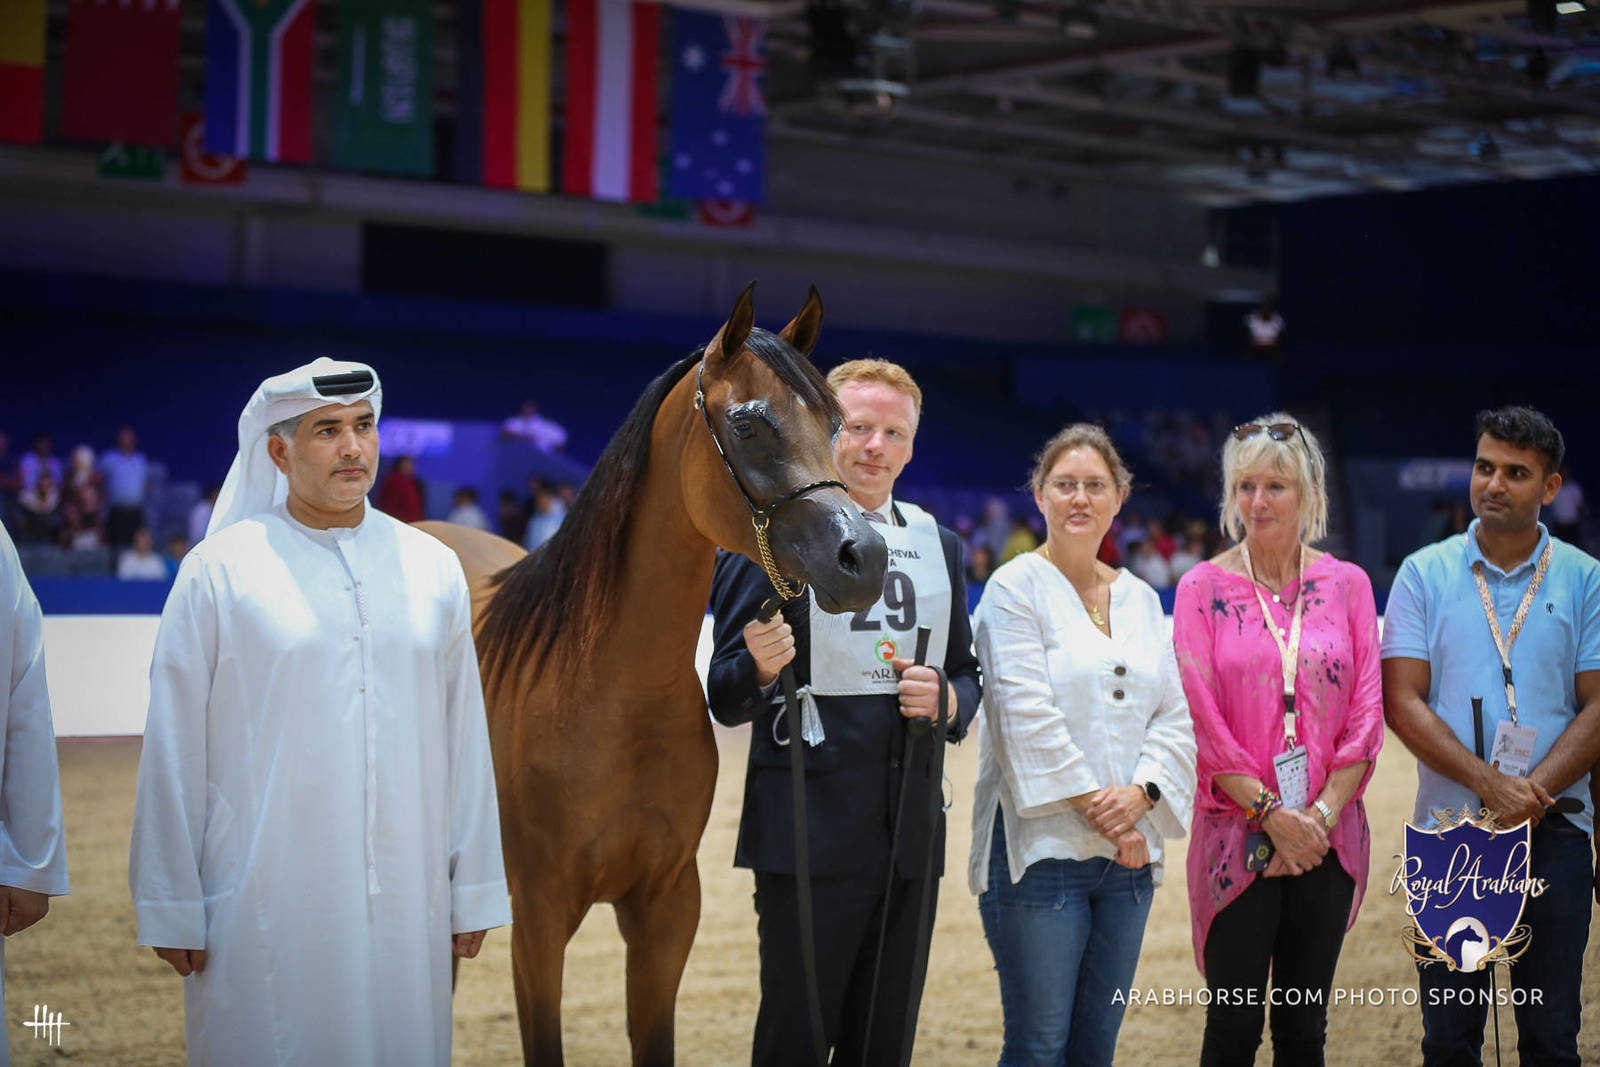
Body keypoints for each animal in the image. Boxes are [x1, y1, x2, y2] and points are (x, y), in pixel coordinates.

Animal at [421, 284, 888, 1065]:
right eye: (749, 425)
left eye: (835, 425)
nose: (866, 558)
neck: (607, 694)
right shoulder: (539, 918)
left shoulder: (667, 908)